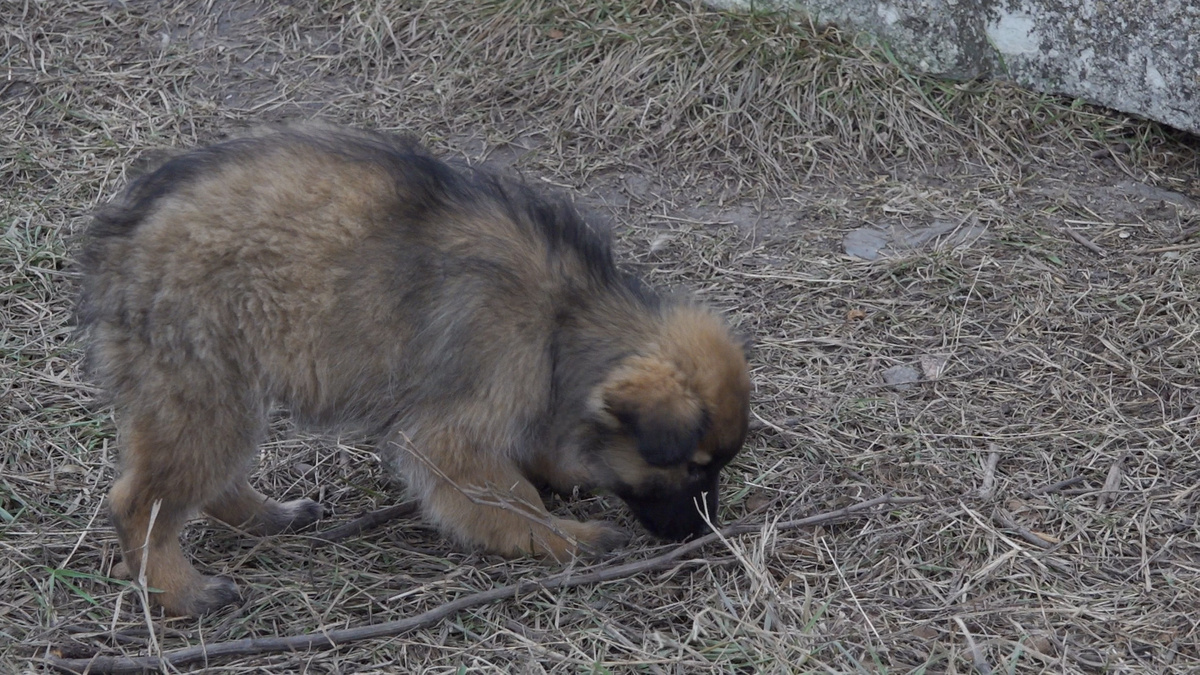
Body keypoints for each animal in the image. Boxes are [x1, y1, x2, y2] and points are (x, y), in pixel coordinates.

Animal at [77, 124, 751, 616]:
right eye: (692, 468)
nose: (703, 533)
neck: (566, 320)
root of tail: (124, 235)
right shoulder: (450, 434)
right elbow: (511, 499)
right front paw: (563, 537)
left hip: (215, 397)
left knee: (206, 482)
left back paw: (270, 518)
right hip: (207, 390)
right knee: (137, 501)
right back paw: (180, 592)